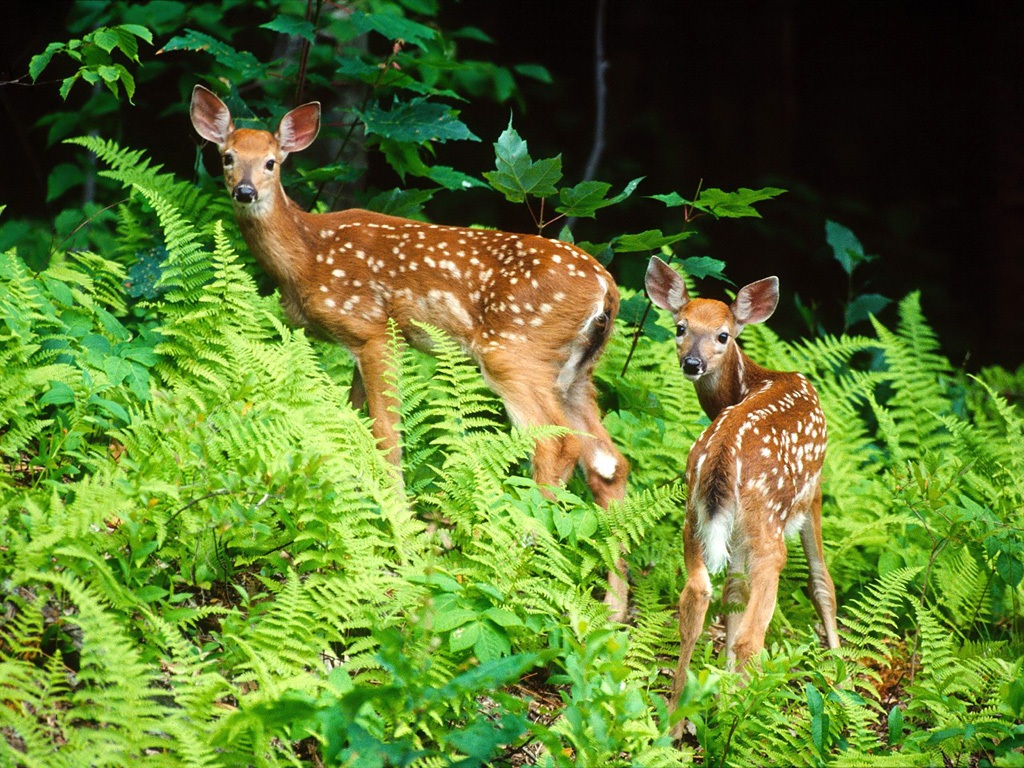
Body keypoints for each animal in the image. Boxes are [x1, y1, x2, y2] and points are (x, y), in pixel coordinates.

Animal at [186, 87, 630, 618]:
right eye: (228, 157)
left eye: (272, 162)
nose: (246, 192)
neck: (308, 257)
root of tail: (607, 289)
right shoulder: (355, 345)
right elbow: (347, 429)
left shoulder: (375, 330)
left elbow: (385, 439)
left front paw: (400, 542)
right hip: (577, 373)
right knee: (608, 463)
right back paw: (614, 610)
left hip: (514, 349)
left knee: (555, 445)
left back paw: (515, 568)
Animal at [647, 259, 839, 720]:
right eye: (680, 327)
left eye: (723, 334)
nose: (692, 363)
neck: (753, 381)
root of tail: (720, 455)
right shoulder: (814, 488)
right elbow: (822, 582)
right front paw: (843, 679)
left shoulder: (728, 528)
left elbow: (732, 592)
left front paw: (721, 687)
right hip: (767, 519)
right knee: (753, 632)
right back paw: (738, 716)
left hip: (694, 514)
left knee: (697, 597)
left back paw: (675, 720)